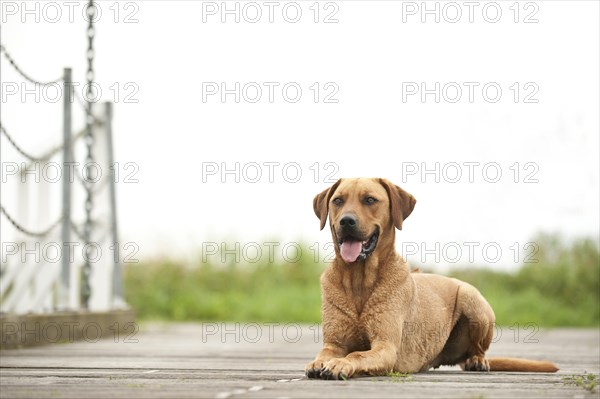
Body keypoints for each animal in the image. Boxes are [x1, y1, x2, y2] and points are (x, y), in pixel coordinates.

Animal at [304, 179, 556, 382]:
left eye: (369, 200)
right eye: (338, 201)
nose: (346, 221)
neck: (359, 280)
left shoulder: (386, 346)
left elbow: (357, 354)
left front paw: (341, 363)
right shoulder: (334, 343)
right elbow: (325, 353)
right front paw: (319, 362)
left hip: (474, 303)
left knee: (477, 350)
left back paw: (477, 360)